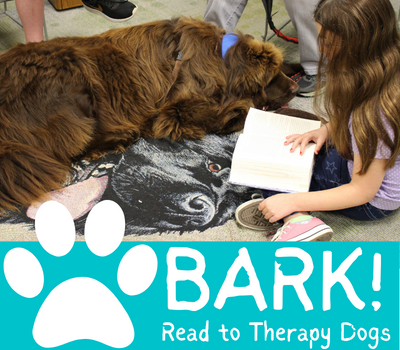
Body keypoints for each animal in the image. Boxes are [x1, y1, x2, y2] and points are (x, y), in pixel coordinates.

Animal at [0, 17, 296, 213]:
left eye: (279, 70)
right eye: (271, 77)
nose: (294, 88)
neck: (222, 59)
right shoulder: (174, 114)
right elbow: (237, 112)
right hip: (74, 77)